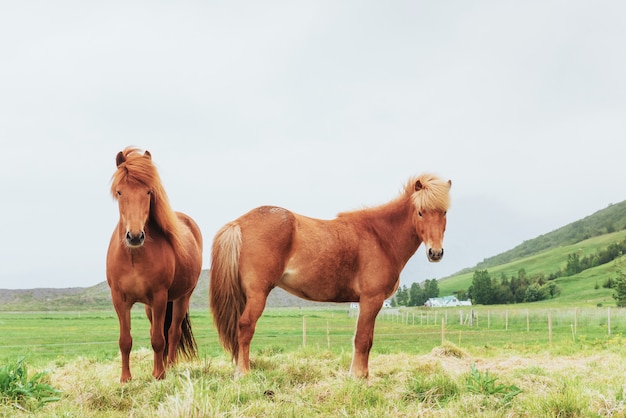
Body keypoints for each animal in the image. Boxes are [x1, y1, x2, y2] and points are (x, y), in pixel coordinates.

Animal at [106, 147, 201, 382]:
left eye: (148, 192)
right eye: (120, 192)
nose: (135, 236)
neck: (133, 257)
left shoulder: (159, 297)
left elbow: (159, 339)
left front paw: (158, 375)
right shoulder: (119, 299)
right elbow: (125, 340)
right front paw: (125, 378)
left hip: (181, 297)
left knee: (172, 332)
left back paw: (170, 366)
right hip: (150, 306)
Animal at [210, 173, 448, 378]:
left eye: (444, 212)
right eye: (420, 212)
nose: (435, 253)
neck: (380, 237)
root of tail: (239, 223)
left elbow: (367, 339)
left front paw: (362, 375)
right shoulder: (371, 300)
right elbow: (362, 339)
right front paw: (358, 376)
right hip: (258, 294)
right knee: (245, 327)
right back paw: (243, 373)